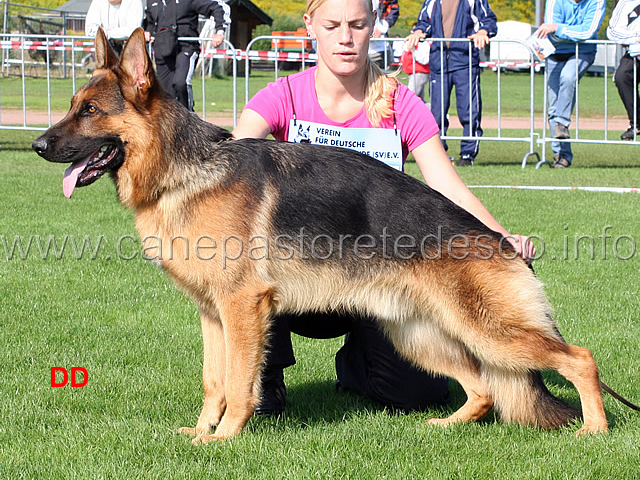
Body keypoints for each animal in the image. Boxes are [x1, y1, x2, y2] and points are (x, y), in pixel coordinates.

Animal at [33, 29, 608, 442]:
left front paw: (223, 439)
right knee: (485, 388)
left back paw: (595, 430)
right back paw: (447, 425)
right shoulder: (212, 314)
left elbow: (239, 382)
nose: (38, 145)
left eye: (90, 111)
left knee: (579, 358)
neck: (185, 171)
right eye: (72, 104)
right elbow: (214, 380)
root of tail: (501, 242)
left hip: (488, 332)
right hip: (419, 336)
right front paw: (200, 431)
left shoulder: (243, 307)